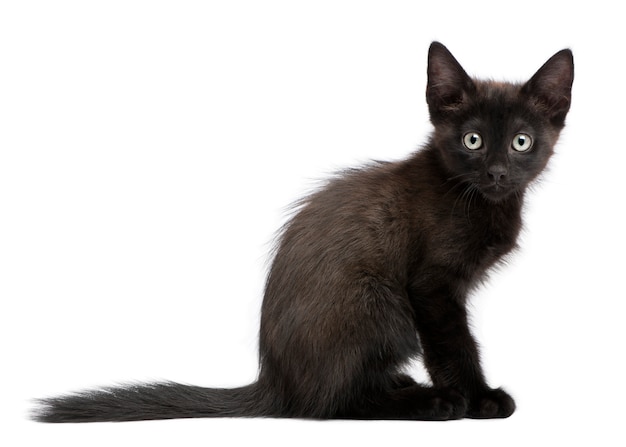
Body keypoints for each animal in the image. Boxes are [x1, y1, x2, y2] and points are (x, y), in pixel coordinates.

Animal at [34, 42, 572, 424]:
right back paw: (427, 402)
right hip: (378, 301)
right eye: (473, 140)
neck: (477, 198)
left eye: (521, 141)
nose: (497, 172)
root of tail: (277, 383)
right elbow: (454, 345)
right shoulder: (431, 287)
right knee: (334, 403)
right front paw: (477, 398)